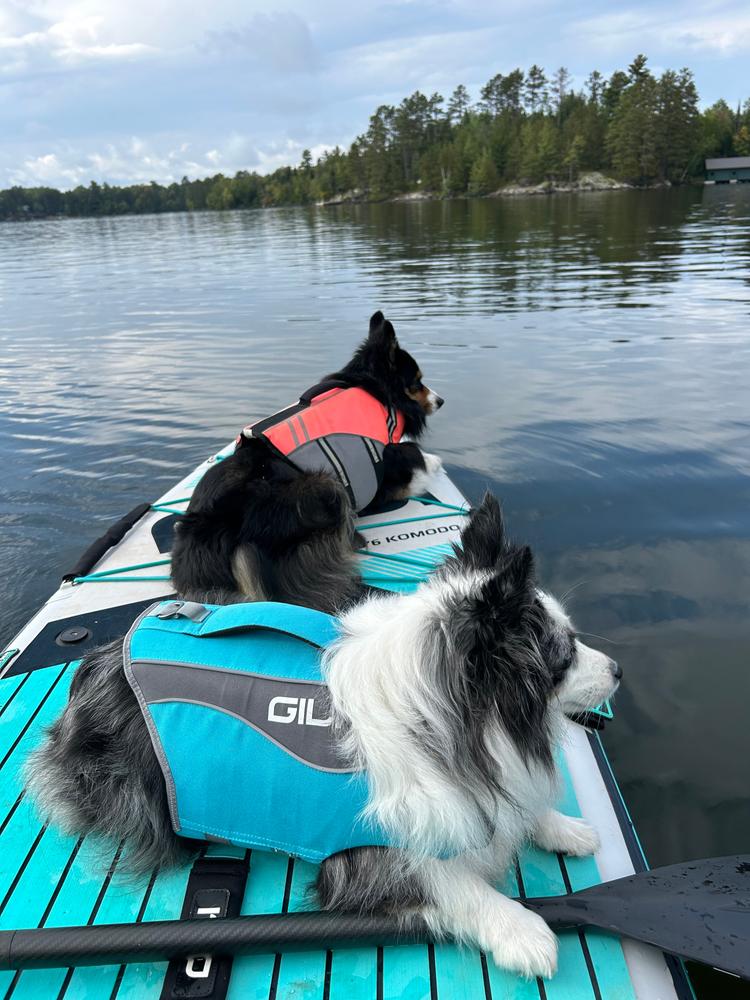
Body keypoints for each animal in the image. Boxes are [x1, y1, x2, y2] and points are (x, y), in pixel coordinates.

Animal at [26, 492, 620, 976]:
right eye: (563, 656)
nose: (617, 670)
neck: (448, 721)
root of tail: (98, 662)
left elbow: (516, 806)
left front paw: (560, 826)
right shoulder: (369, 859)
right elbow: (454, 884)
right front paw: (523, 932)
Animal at [170, 312, 444, 612]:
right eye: (417, 382)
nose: (441, 401)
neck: (374, 388)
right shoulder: (383, 469)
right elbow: (414, 457)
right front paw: (433, 463)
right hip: (324, 486)